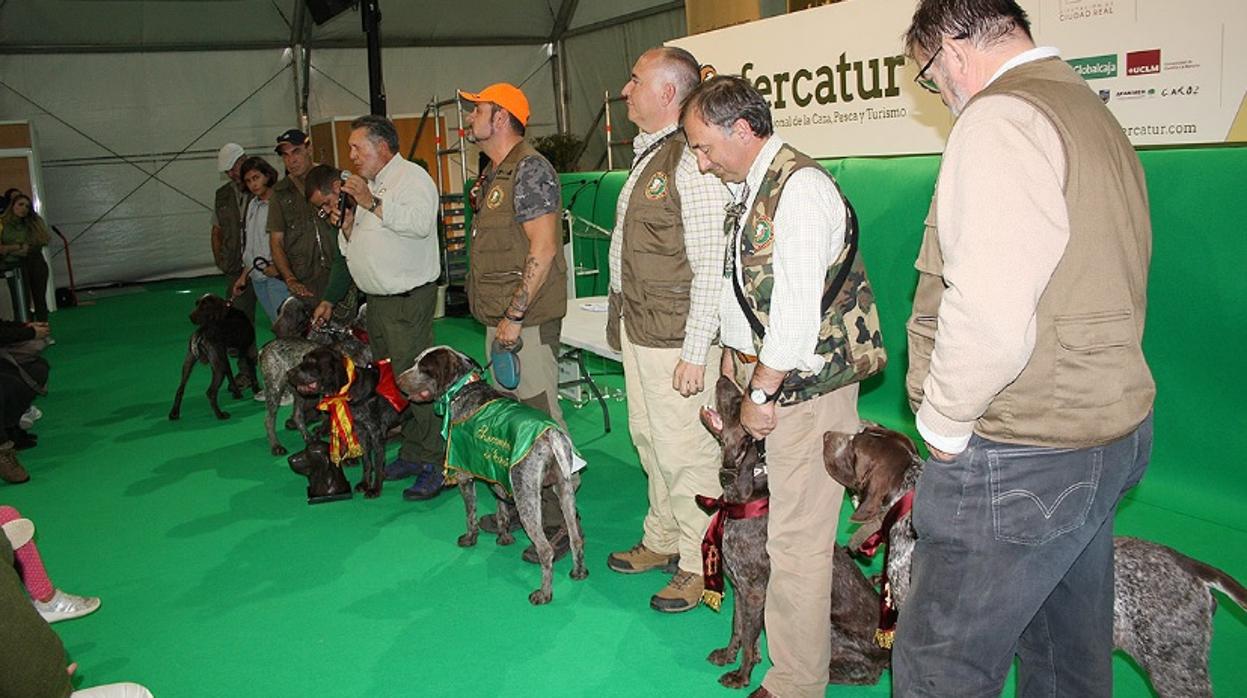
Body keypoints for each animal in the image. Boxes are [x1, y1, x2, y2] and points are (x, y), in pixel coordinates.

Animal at [285, 346, 401, 498]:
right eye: (304, 358)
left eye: (312, 361)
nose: (288, 373)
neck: (351, 390)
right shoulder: (361, 431)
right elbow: (367, 462)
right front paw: (364, 484)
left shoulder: (376, 434)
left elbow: (378, 463)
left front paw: (375, 489)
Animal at [394, 346, 583, 605]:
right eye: (416, 362)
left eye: (424, 367)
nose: (397, 380)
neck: (463, 389)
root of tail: (550, 434)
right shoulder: (496, 475)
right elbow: (501, 513)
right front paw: (504, 538)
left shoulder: (464, 475)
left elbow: (470, 515)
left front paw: (470, 539)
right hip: (564, 490)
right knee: (576, 538)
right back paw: (579, 572)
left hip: (526, 498)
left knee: (546, 550)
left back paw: (544, 594)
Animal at [703, 376, 887, 688]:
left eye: (739, 404)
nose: (722, 376)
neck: (745, 503)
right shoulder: (740, 590)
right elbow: (737, 628)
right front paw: (729, 656)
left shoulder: (754, 593)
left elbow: (749, 638)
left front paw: (742, 675)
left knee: (866, 672)